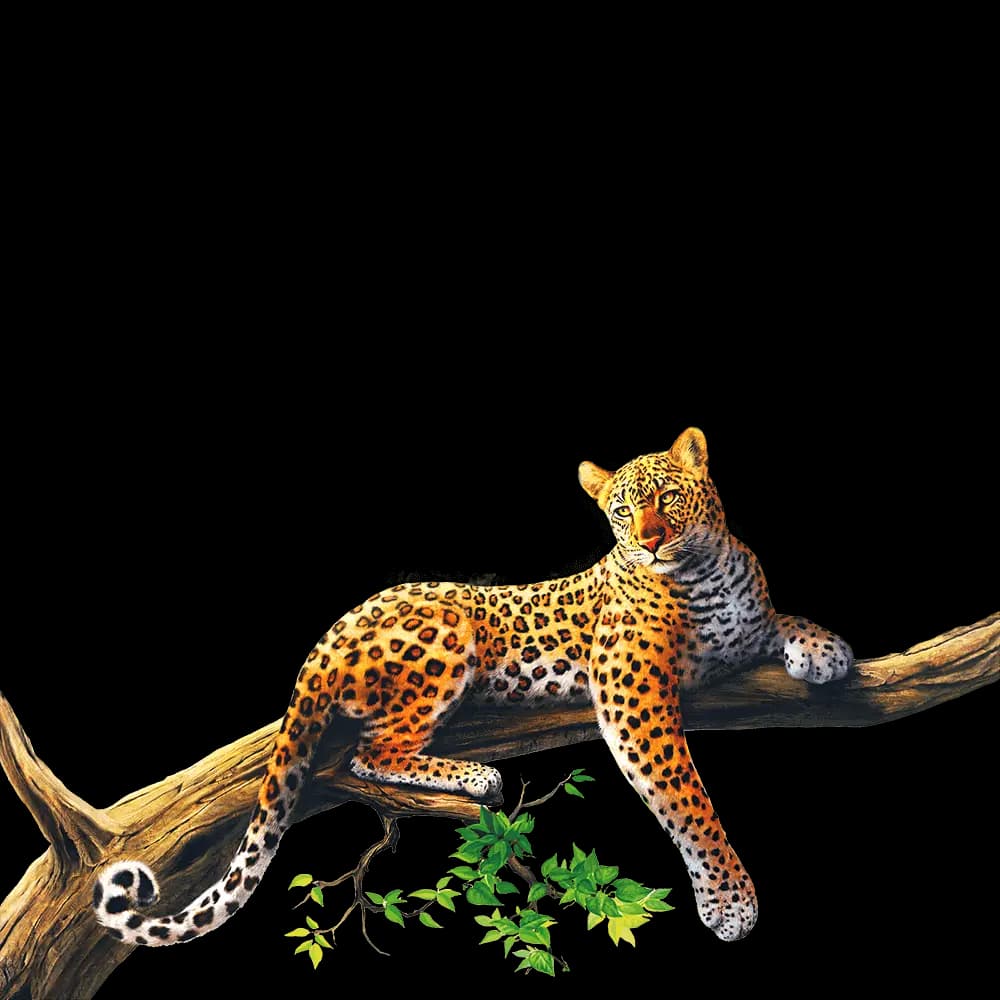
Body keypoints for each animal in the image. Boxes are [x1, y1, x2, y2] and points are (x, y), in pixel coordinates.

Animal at [95, 427, 852, 946]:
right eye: (619, 512)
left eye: (666, 496)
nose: (649, 541)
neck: (705, 570)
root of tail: (328, 637)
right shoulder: (632, 693)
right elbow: (687, 799)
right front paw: (729, 900)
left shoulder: (744, 627)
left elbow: (781, 618)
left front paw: (825, 649)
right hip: (446, 634)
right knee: (371, 751)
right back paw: (476, 777)